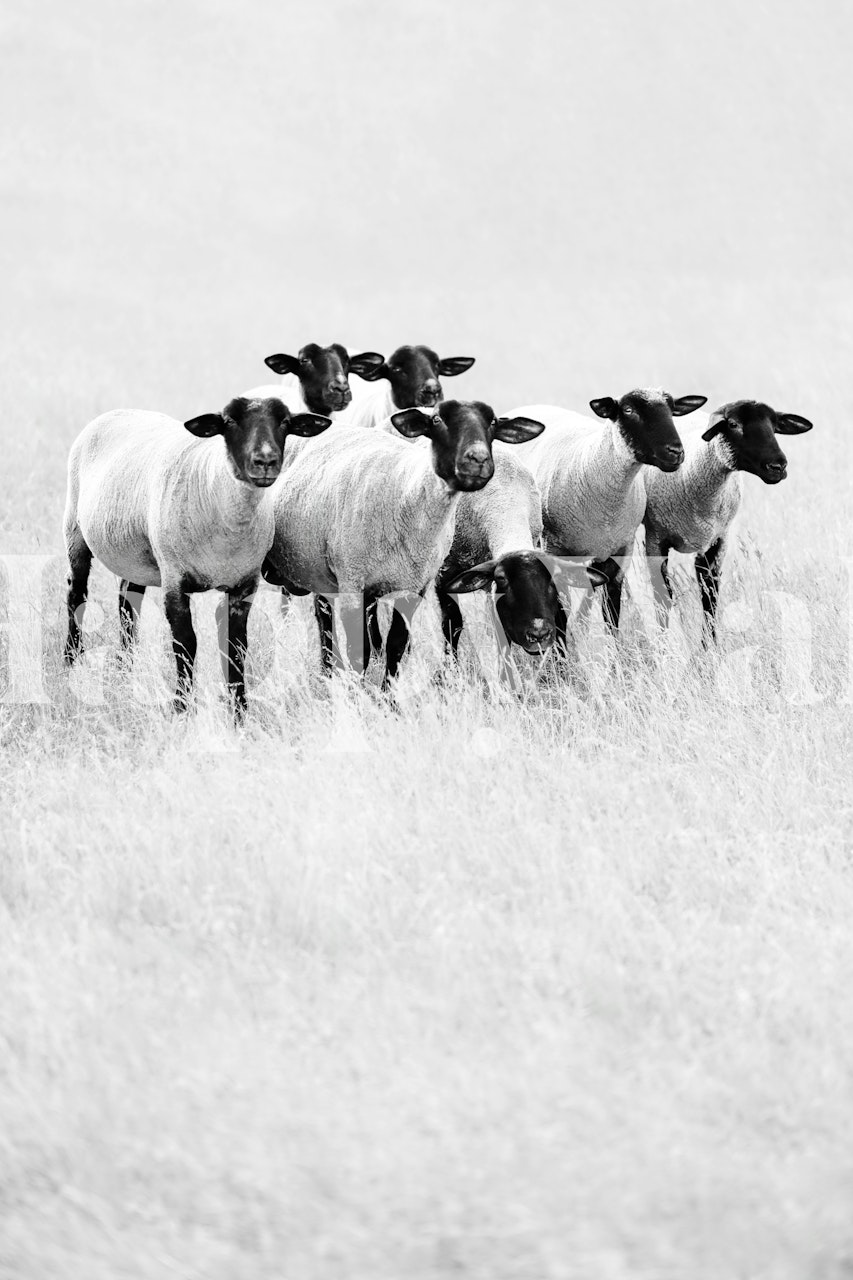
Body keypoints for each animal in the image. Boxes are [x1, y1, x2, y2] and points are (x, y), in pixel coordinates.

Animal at [63, 396, 332, 716]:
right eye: (230, 421)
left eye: (285, 422)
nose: (265, 461)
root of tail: (120, 411)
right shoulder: (174, 579)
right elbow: (185, 644)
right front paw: (180, 706)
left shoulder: (244, 585)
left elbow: (236, 647)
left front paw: (239, 711)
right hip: (75, 530)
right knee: (76, 595)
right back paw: (70, 661)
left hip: (136, 556)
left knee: (127, 601)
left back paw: (125, 665)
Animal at [262, 400, 545, 688]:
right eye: (437, 420)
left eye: (493, 422)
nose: (477, 459)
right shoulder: (357, 582)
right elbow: (361, 649)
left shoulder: (413, 588)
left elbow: (397, 645)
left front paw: (388, 694)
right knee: (325, 619)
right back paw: (327, 670)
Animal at [509, 389, 707, 639]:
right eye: (628, 410)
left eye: (671, 409)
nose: (676, 453)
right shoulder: (553, 550)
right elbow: (560, 613)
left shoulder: (619, 552)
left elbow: (611, 612)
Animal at [643, 399, 813, 638]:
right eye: (733, 424)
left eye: (775, 426)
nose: (778, 466)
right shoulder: (655, 539)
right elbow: (663, 597)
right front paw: (663, 643)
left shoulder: (717, 541)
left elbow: (710, 598)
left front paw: (710, 645)